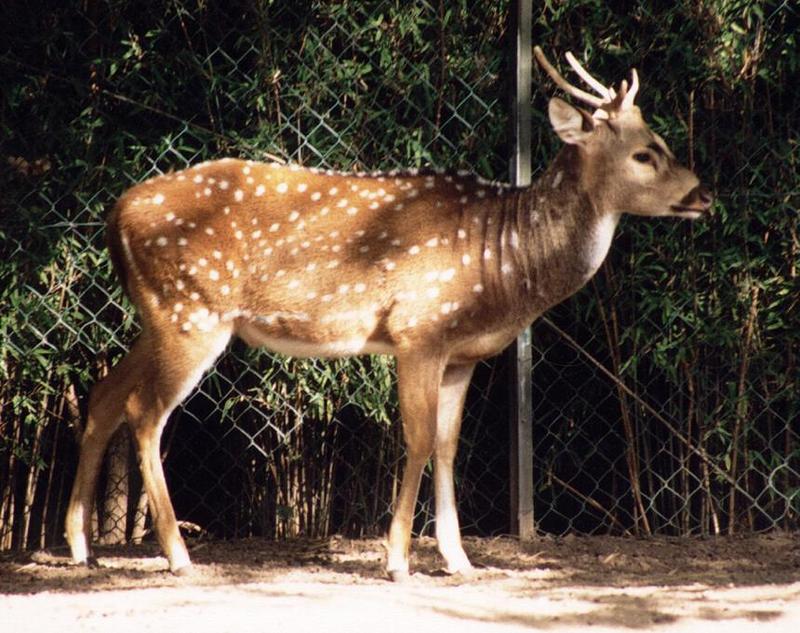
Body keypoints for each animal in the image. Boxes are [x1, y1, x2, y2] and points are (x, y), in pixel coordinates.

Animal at [65, 47, 708, 580]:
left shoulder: (461, 354)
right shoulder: (417, 329)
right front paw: (398, 560)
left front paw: (459, 561)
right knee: (144, 412)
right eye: (644, 152)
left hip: (159, 316)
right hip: (192, 311)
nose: (703, 194)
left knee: (103, 393)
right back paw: (177, 556)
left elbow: (448, 446)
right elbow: (418, 439)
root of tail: (116, 215)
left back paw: (80, 546)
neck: (501, 265)